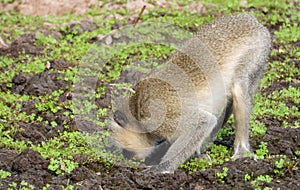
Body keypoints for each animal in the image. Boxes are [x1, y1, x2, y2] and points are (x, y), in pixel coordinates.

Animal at [108, 13, 272, 173]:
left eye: (127, 152)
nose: (131, 159)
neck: (136, 108)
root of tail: (251, 19)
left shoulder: (158, 117)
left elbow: (203, 121)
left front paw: (161, 169)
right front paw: (197, 155)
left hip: (257, 49)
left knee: (239, 86)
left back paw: (242, 149)